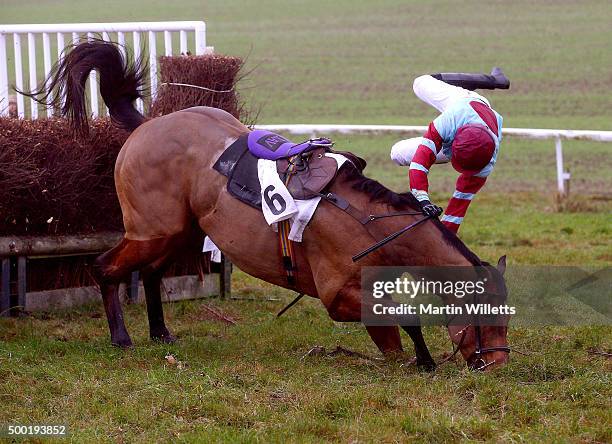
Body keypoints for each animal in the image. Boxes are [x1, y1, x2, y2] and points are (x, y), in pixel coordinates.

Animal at [26, 40, 510, 368]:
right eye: (488, 313)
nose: (497, 362)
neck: (371, 225)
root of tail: (147, 125)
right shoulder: (337, 294)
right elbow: (403, 318)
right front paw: (424, 361)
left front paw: (419, 359)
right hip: (151, 230)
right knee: (105, 267)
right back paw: (122, 337)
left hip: (183, 231)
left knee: (150, 274)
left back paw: (161, 333)